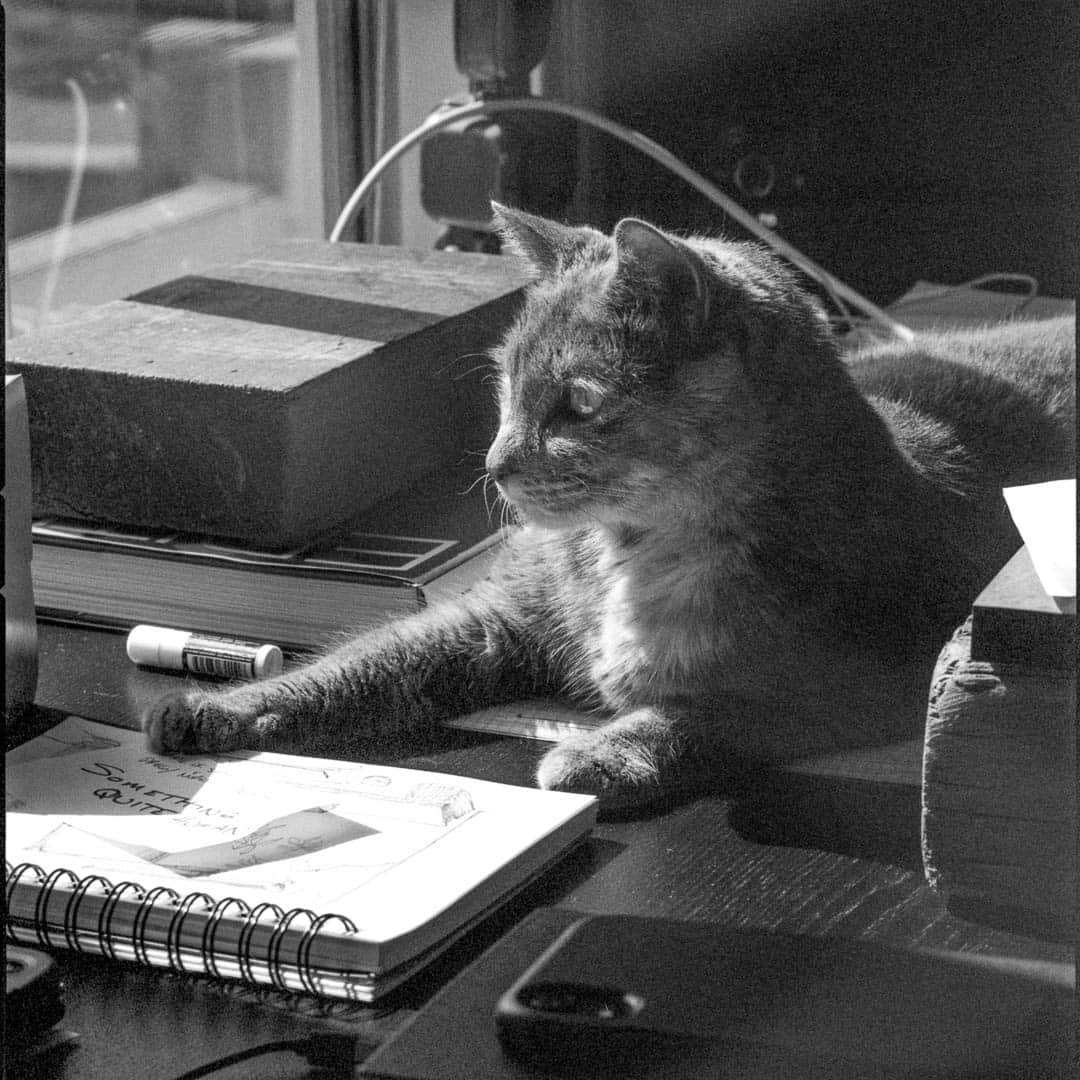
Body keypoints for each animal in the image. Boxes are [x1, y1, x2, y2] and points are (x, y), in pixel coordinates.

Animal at [143, 200, 1071, 812]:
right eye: (506, 386)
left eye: (579, 404)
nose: (495, 466)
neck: (635, 552)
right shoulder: (499, 616)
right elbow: (368, 660)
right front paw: (221, 709)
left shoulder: (877, 672)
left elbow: (717, 709)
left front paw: (602, 754)